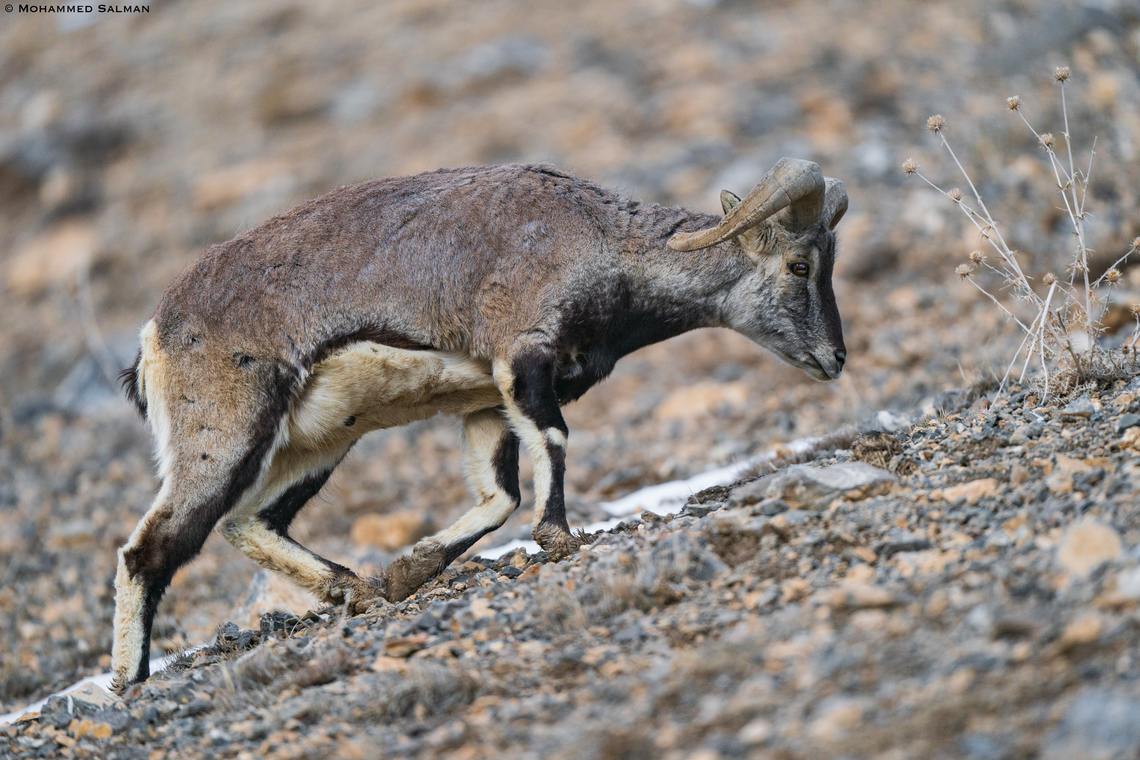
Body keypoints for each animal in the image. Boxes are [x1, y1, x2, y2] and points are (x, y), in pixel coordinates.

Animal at [111, 158, 848, 691]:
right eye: (800, 264)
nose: (835, 358)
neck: (601, 245)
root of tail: (155, 337)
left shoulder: (485, 403)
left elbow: (499, 496)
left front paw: (407, 571)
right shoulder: (523, 358)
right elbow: (549, 447)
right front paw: (559, 539)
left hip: (319, 442)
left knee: (248, 521)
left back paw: (358, 591)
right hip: (227, 436)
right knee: (153, 547)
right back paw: (128, 681)